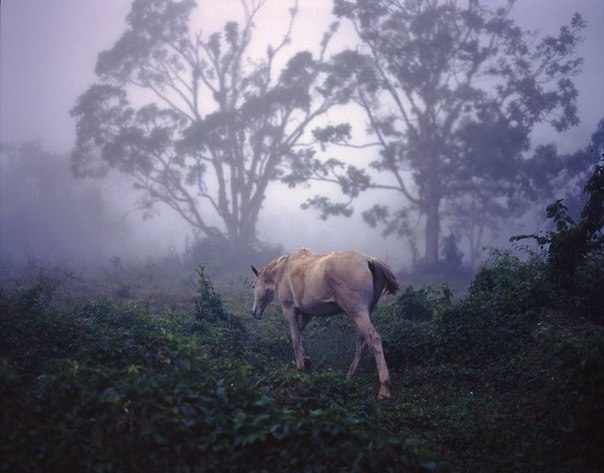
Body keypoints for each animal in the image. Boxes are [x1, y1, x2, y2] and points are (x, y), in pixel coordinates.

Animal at [252, 247, 398, 398]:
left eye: (253, 286)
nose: (254, 313)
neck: (284, 269)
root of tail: (369, 261)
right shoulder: (307, 314)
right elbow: (299, 334)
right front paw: (306, 360)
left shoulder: (290, 312)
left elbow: (295, 339)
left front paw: (300, 368)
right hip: (363, 314)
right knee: (362, 342)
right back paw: (349, 377)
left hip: (358, 313)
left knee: (373, 339)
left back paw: (384, 388)